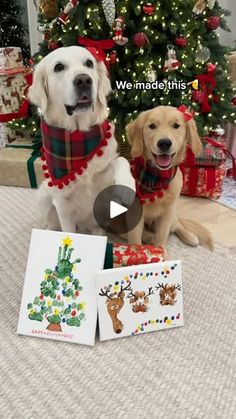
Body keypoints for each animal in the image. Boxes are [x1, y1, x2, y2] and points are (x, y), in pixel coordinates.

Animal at [126, 105, 213, 256]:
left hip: (172, 216)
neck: (157, 178)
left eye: (176, 126)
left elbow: (162, 237)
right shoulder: (135, 214)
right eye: (152, 126)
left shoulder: (167, 214)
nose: (164, 143)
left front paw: (162, 254)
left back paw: (190, 237)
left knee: (177, 225)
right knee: (146, 235)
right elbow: (136, 239)